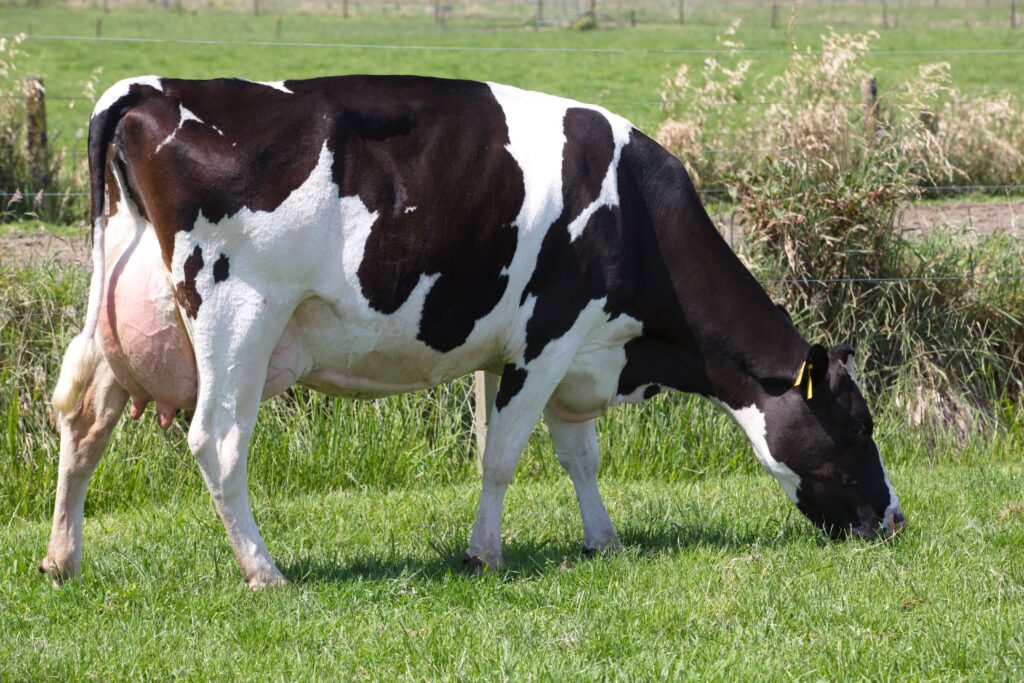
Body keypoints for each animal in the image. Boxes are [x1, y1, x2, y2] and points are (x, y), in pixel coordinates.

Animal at [39, 73, 905, 589]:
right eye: (857, 425)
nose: (895, 519)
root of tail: (153, 90)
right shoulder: (549, 336)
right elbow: (505, 455)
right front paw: (484, 551)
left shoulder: (547, 349)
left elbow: (579, 454)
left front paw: (603, 539)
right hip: (237, 315)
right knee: (217, 442)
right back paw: (265, 569)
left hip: (124, 320)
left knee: (82, 424)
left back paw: (61, 558)